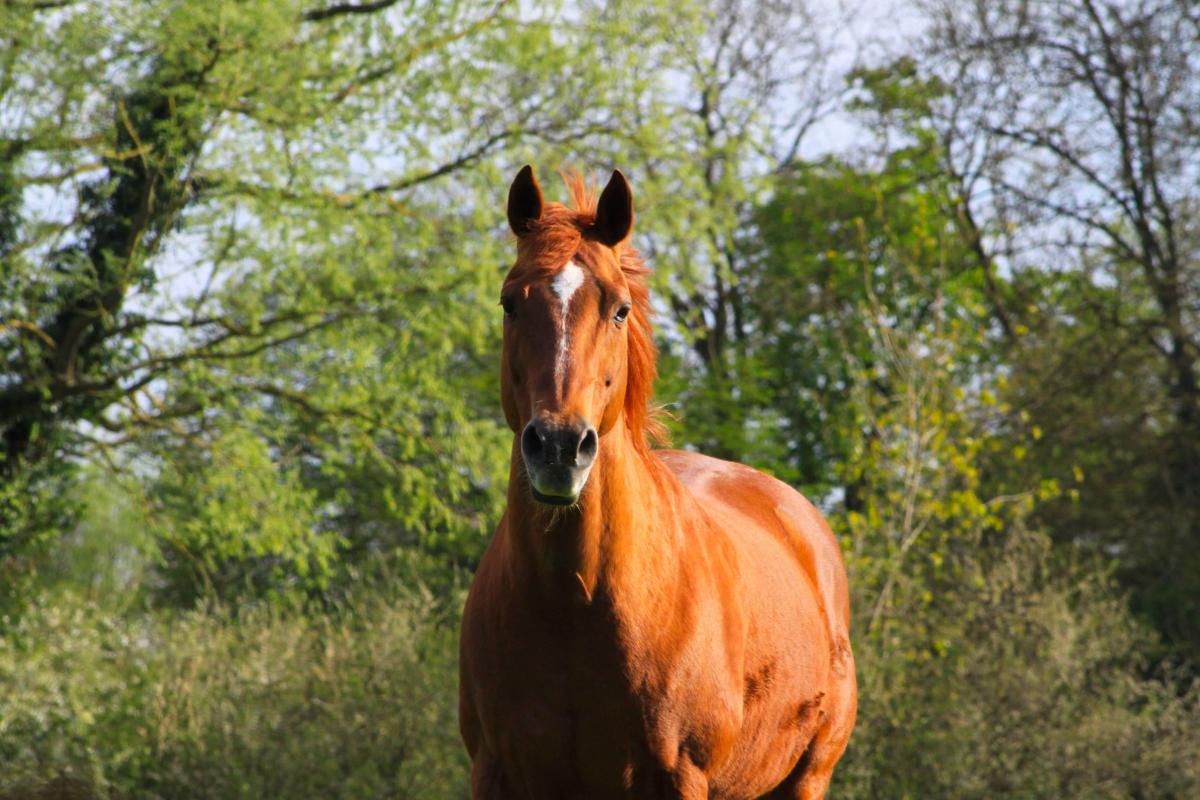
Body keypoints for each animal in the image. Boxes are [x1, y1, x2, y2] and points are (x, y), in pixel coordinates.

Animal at [453, 165, 859, 796]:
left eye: (619, 309)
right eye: (508, 302)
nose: (559, 447)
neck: (573, 601)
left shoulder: (678, 775)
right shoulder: (494, 773)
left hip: (808, 777)